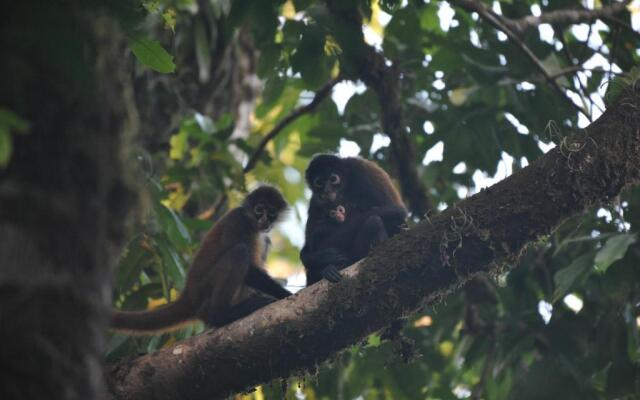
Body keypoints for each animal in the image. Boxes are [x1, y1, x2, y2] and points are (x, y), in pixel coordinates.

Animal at [111, 186, 292, 332]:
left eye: (271, 213)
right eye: (259, 210)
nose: (265, 220)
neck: (253, 224)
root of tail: (189, 294)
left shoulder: (264, 237)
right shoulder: (238, 220)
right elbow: (249, 270)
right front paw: (285, 294)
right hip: (206, 288)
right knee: (239, 252)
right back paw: (221, 316)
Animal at [298, 153, 404, 284]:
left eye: (333, 179)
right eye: (319, 182)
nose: (327, 190)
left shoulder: (361, 170)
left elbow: (397, 211)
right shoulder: (316, 200)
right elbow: (306, 251)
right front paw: (323, 256)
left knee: (374, 221)